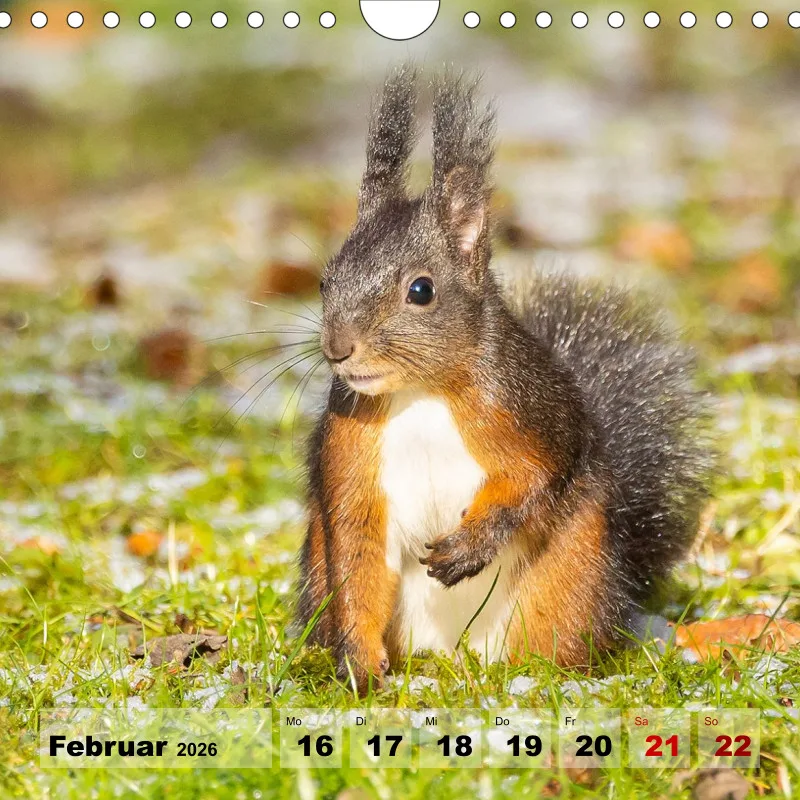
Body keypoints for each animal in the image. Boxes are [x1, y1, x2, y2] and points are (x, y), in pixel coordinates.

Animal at [296, 66, 711, 693]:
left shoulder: (530, 409)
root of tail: (451, 654)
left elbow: (539, 476)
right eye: (326, 280)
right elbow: (355, 550)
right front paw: (359, 667)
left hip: (569, 580)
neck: (420, 394)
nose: (338, 349)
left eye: (421, 290)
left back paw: (546, 676)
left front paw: (473, 544)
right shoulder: (350, 452)